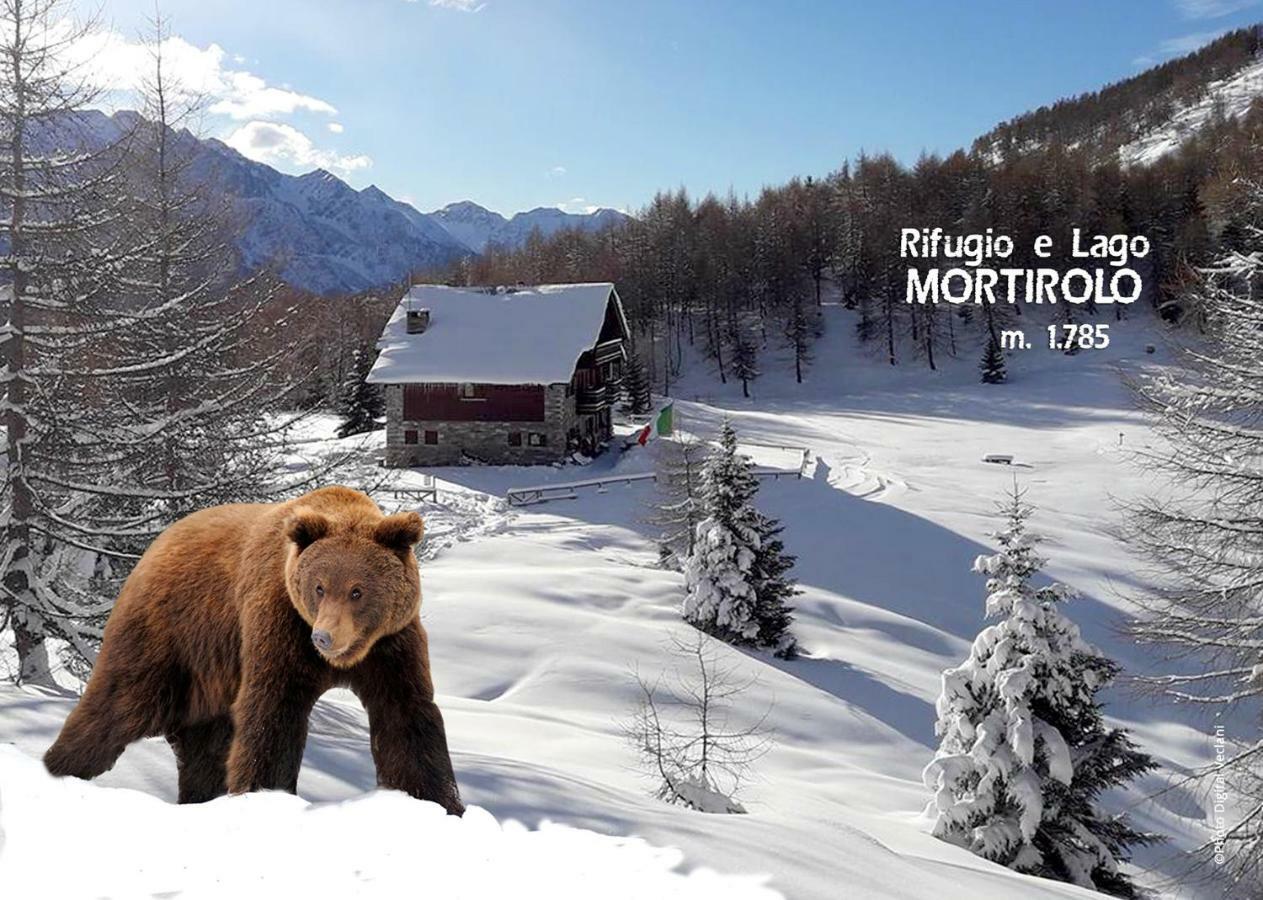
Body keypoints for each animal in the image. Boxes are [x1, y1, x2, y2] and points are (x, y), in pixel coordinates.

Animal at [45, 484, 469, 812]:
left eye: (357, 590)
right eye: (319, 586)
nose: (323, 637)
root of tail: (157, 542)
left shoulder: (391, 645)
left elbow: (407, 715)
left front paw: (441, 802)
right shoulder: (280, 624)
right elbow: (272, 712)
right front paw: (266, 793)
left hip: (210, 675)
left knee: (205, 747)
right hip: (170, 634)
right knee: (120, 704)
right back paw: (57, 768)